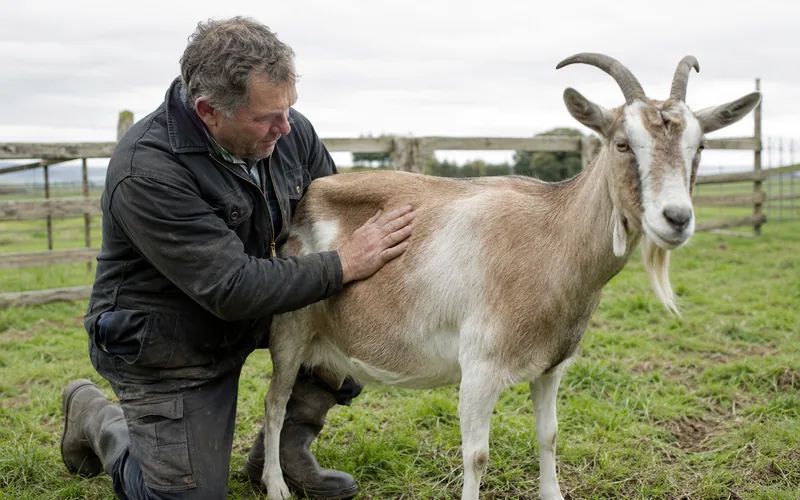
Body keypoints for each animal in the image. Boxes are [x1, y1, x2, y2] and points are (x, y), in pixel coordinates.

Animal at [260, 53, 761, 500]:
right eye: (622, 143)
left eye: (700, 146)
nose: (676, 218)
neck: (550, 240)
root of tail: (310, 195)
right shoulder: (479, 367)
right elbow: (477, 456)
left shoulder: (553, 366)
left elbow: (550, 436)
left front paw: (553, 494)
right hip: (289, 329)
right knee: (274, 403)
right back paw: (277, 487)